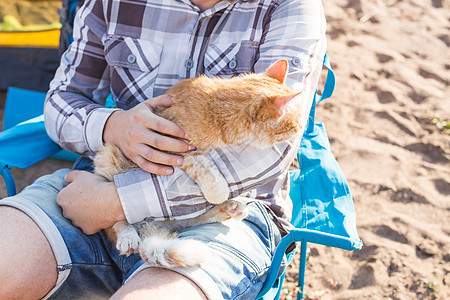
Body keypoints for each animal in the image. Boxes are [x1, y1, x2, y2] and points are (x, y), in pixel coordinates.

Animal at [96, 58, 304, 268]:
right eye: (295, 125)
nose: (301, 130)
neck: (218, 111)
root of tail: (149, 225)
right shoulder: (172, 149)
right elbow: (203, 167)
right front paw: (219, 193)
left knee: (186, 221)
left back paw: (229, 210)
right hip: (107, 154)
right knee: (116, 222)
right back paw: (128, 235)